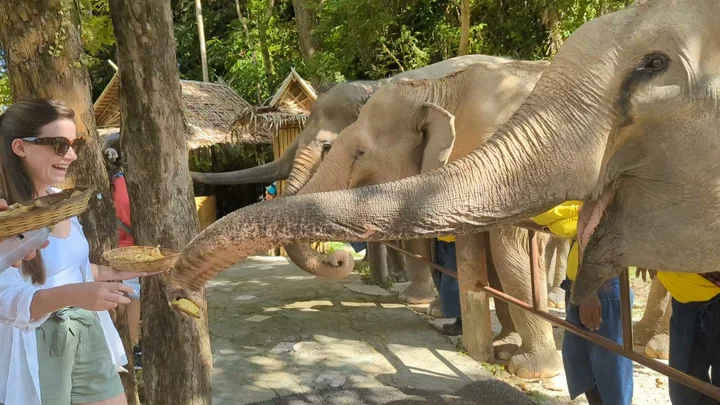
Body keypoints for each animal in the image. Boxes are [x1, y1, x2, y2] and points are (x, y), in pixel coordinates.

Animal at [168, 0, 720, 366]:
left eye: (351, 150)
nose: (340, 261)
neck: (436, 84)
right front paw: (491, 340)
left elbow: (504, 245)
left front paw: (524, 367)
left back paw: (642, 343)